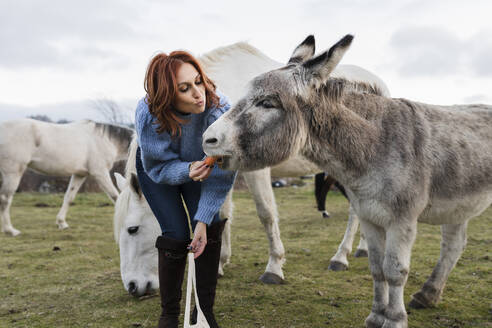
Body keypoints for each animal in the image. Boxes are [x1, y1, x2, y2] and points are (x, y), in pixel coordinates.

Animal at [0, 119, 133, 234]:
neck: (105, 140)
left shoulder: (80, 174)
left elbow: (69, 197)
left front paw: (61, 223)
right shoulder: (100, 172)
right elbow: (115, 196)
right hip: (13, 173)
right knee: (5, 198)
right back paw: (10, 230)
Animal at [110, 39, 388, 296]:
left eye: (132, 229)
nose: (132, 287)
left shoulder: (256, 170)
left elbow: (266, 213)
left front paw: (274, 267)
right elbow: (221, 213)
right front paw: (220, 263)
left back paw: (341, 256)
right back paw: (363, 249)